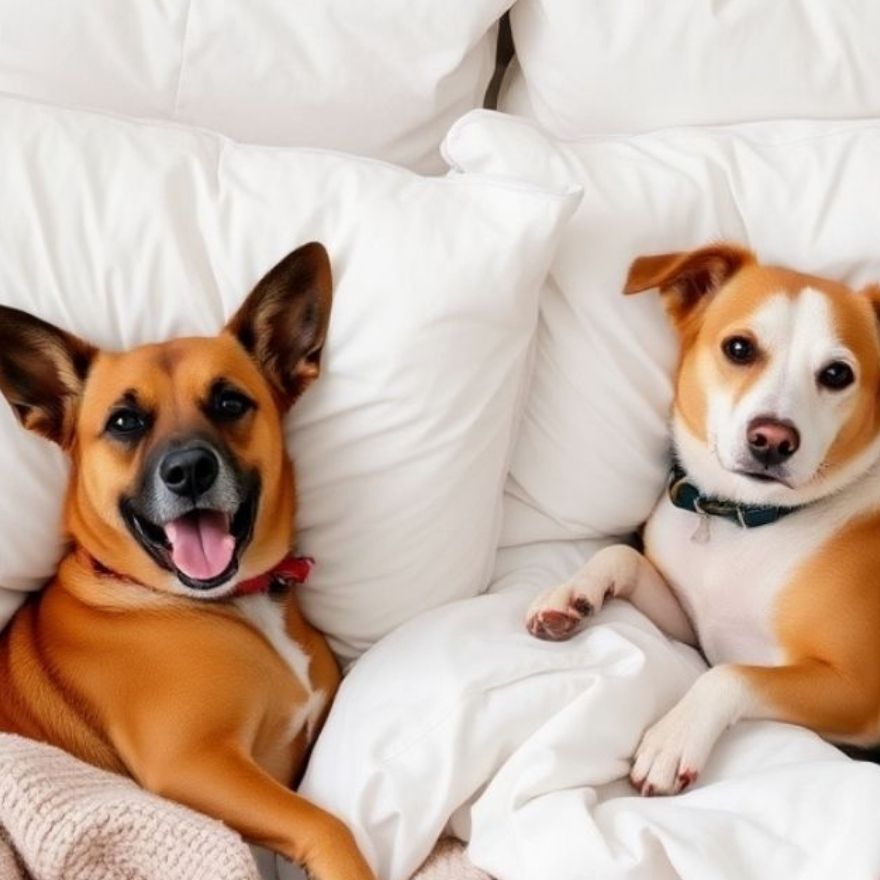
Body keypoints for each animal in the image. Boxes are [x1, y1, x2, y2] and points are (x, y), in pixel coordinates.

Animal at [0, 242, 374, 880]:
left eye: (229, 402)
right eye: (125, 422)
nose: (189, 471)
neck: (237, 601)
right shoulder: (191, 763)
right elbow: (325, 823)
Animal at [524, 242, 876, 796]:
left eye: (837, 374)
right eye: (739, 348)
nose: (772, 440)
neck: (745, 518)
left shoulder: (854, 689)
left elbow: (729, 675)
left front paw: (673, 737)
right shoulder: (694, 625)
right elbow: (622, 555)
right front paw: (573, 593)